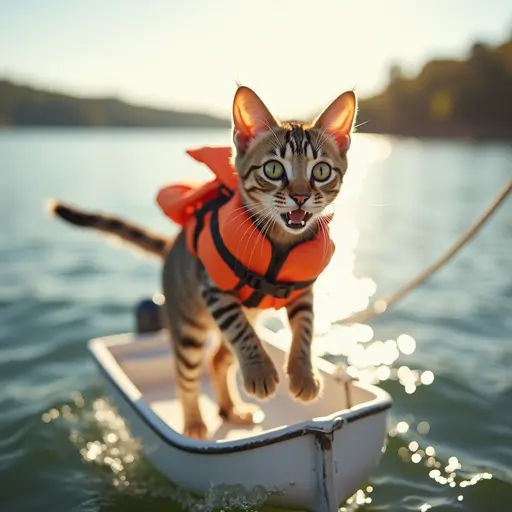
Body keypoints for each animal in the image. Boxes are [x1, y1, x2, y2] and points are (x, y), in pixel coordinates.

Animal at [50, 86, 358, 438]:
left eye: (320, 171)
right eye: (273, 169)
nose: (301, 197)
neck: (280, 242)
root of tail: (173, 245)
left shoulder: (302, 291)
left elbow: (305, 330)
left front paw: (304, 375)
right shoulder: (214, 289)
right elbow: (241, 332)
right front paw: (260, 371)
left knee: (218, 360)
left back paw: (232, 410)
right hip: (189, 325)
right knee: (186, 373)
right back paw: (194, 423)